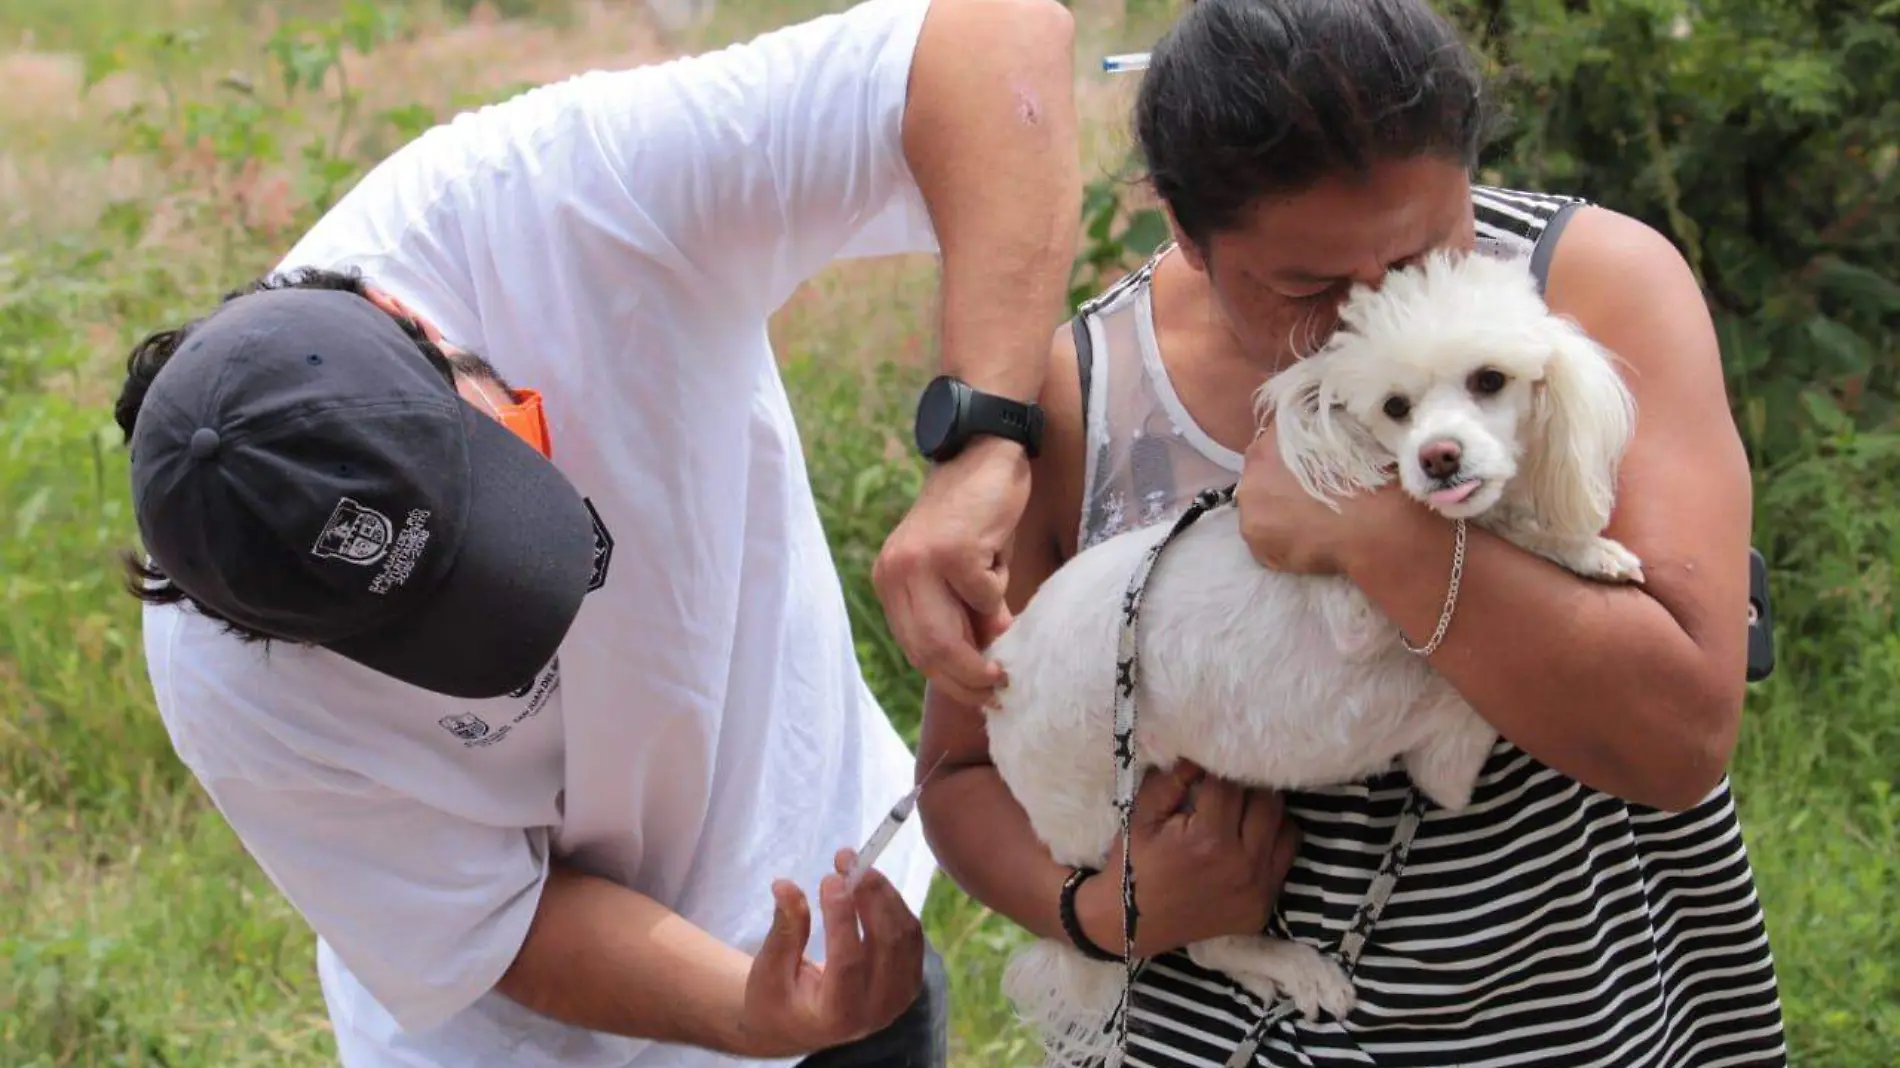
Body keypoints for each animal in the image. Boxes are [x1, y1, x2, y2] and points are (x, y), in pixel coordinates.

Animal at [980, 250, 1649, 1064]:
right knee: (1197, 939)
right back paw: (1297, 968)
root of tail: (1003, 665)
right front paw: (1564, 544)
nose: (1438, 458)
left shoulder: (1446, 764)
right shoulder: (1363, 610)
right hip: (1107, 819)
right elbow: (1482, 543)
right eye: (1396, 407)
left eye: (1490, 380)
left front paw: (1584, 548)